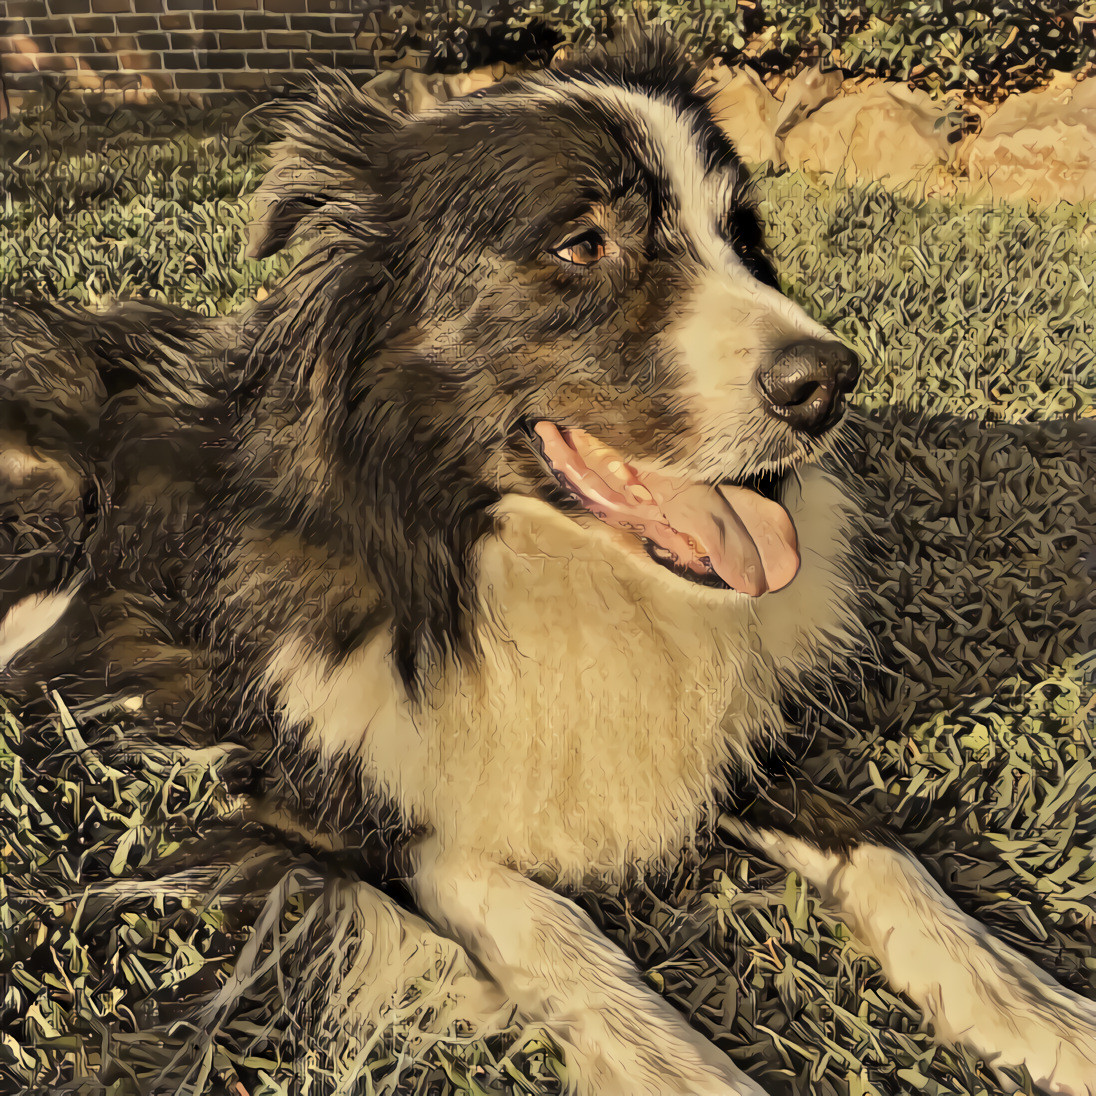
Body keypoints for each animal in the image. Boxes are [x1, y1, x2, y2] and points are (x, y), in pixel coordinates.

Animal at [2, 32, 1096, 1096]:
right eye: (582, 245)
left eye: (745, 239)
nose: (827, 383)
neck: (507, 553)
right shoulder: (304, 781)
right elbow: (535, 911)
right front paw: (663, 1061)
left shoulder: (725, 743)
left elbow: (881, 845)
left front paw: (1038, 1010)